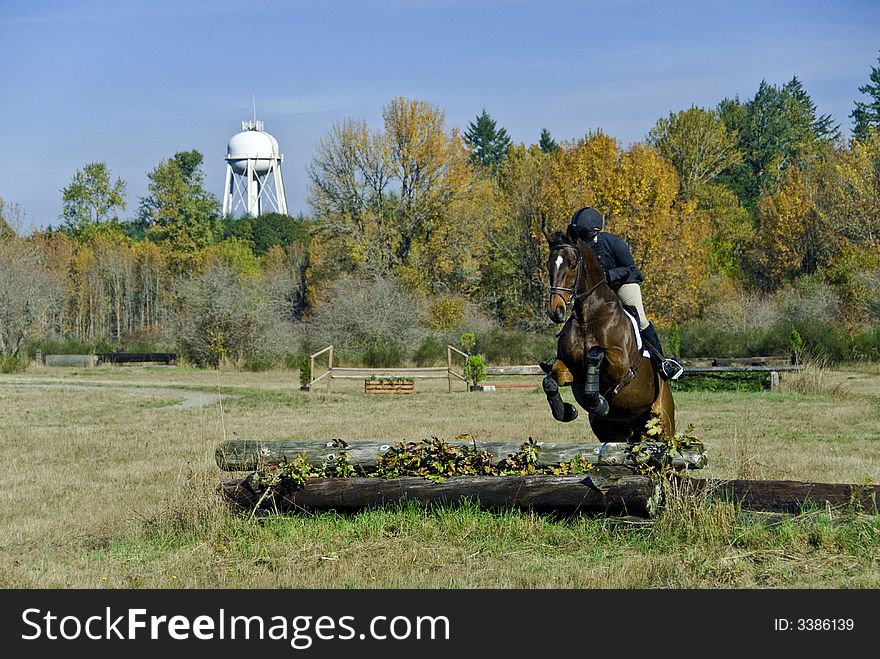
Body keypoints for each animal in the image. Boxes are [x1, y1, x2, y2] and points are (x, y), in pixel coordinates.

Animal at [540, 223, 676, 444]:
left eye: (573, 264)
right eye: (549, 265)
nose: (556, 310)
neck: (588, 318)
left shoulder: (621, 367)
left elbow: (595, 353)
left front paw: (597, 400)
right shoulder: (569, 368)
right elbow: (550, 380)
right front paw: (566, 411)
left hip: (663, 423)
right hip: (612, 431)